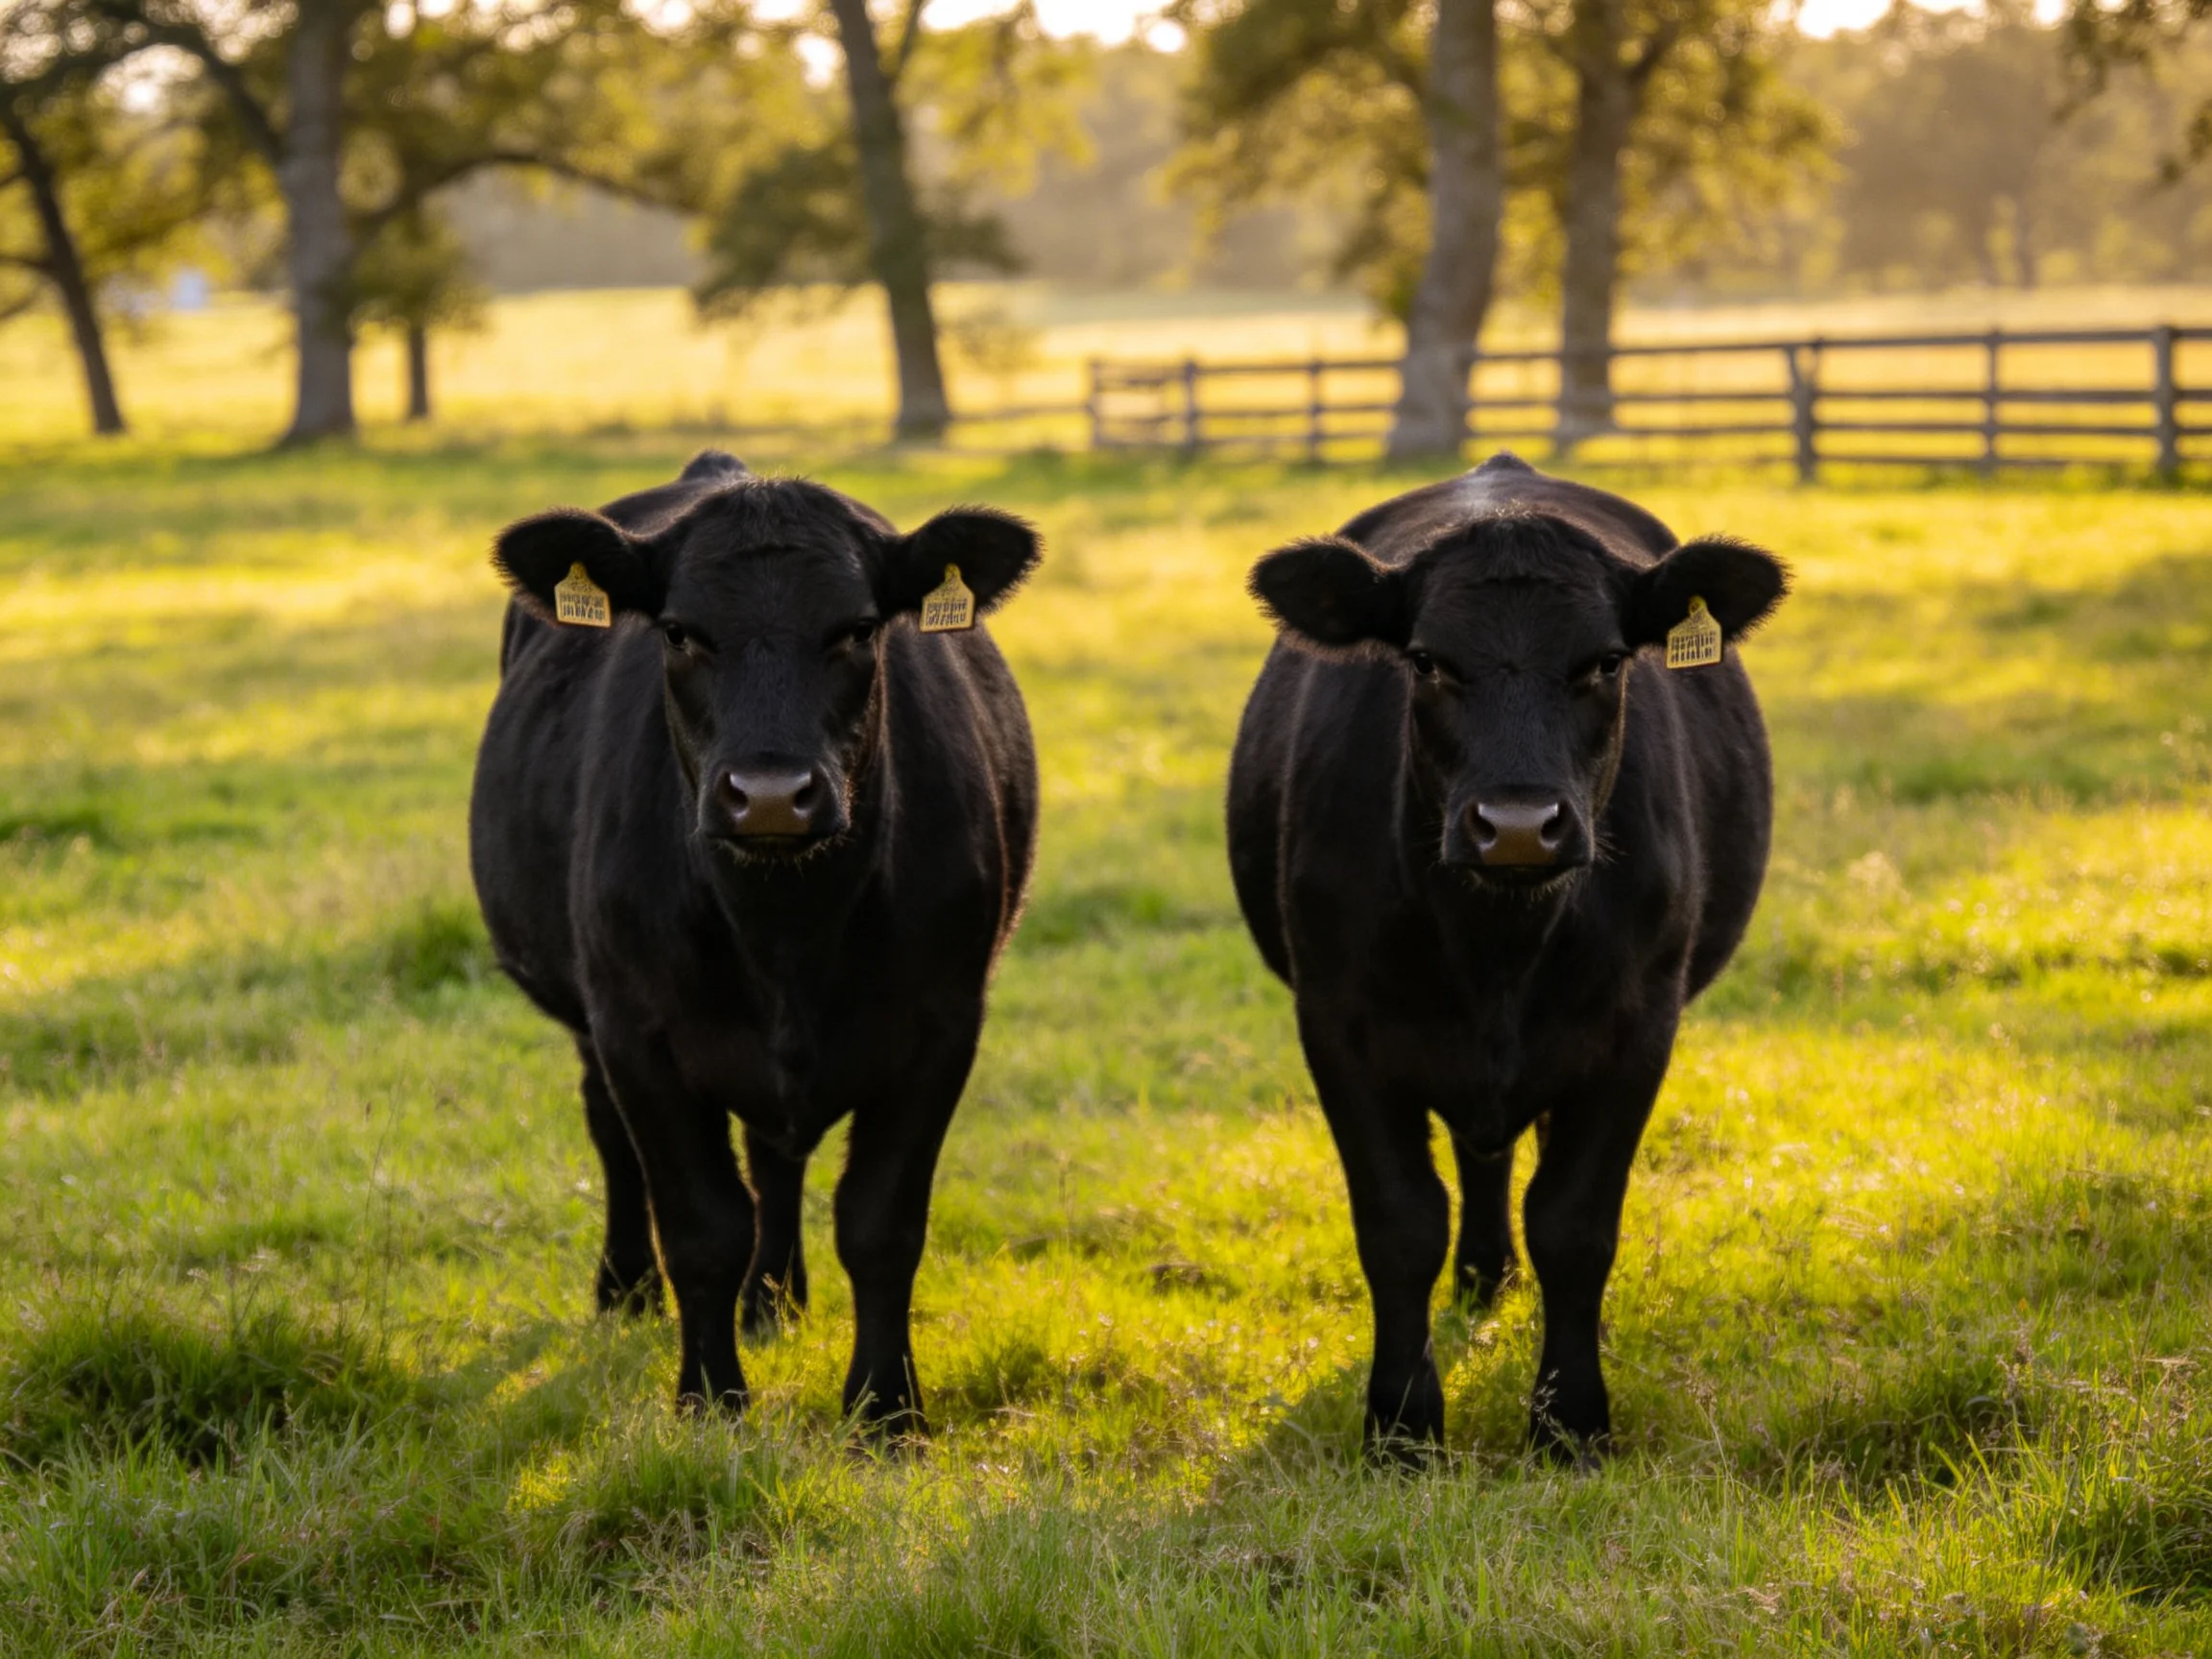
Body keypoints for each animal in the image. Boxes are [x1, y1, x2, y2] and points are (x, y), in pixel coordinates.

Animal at [469, 450, 1041, 1433]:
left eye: (858, 630)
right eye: (678, 633)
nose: (770, 795)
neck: (787, 934)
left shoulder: (943, 1025)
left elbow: (880, 1225)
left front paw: (886, 1412)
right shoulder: (638, 1032)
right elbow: (702, 1227)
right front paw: (710, 1402)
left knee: (776, 1160)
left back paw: (774, 1301)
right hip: (591, 1018)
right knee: (611, 1132)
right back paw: (626, 1290)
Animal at [1226, 453, 1787, 1464]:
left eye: (1605, 661)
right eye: (1427, 661)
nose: (1519, 825)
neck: (1497, 948)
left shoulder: (1638, 1025)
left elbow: (1573, 1224)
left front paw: (1570, 1426)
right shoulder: (1337, 1022)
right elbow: (1400, 1224)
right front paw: (1402, 1429)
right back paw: (1481, 1279)